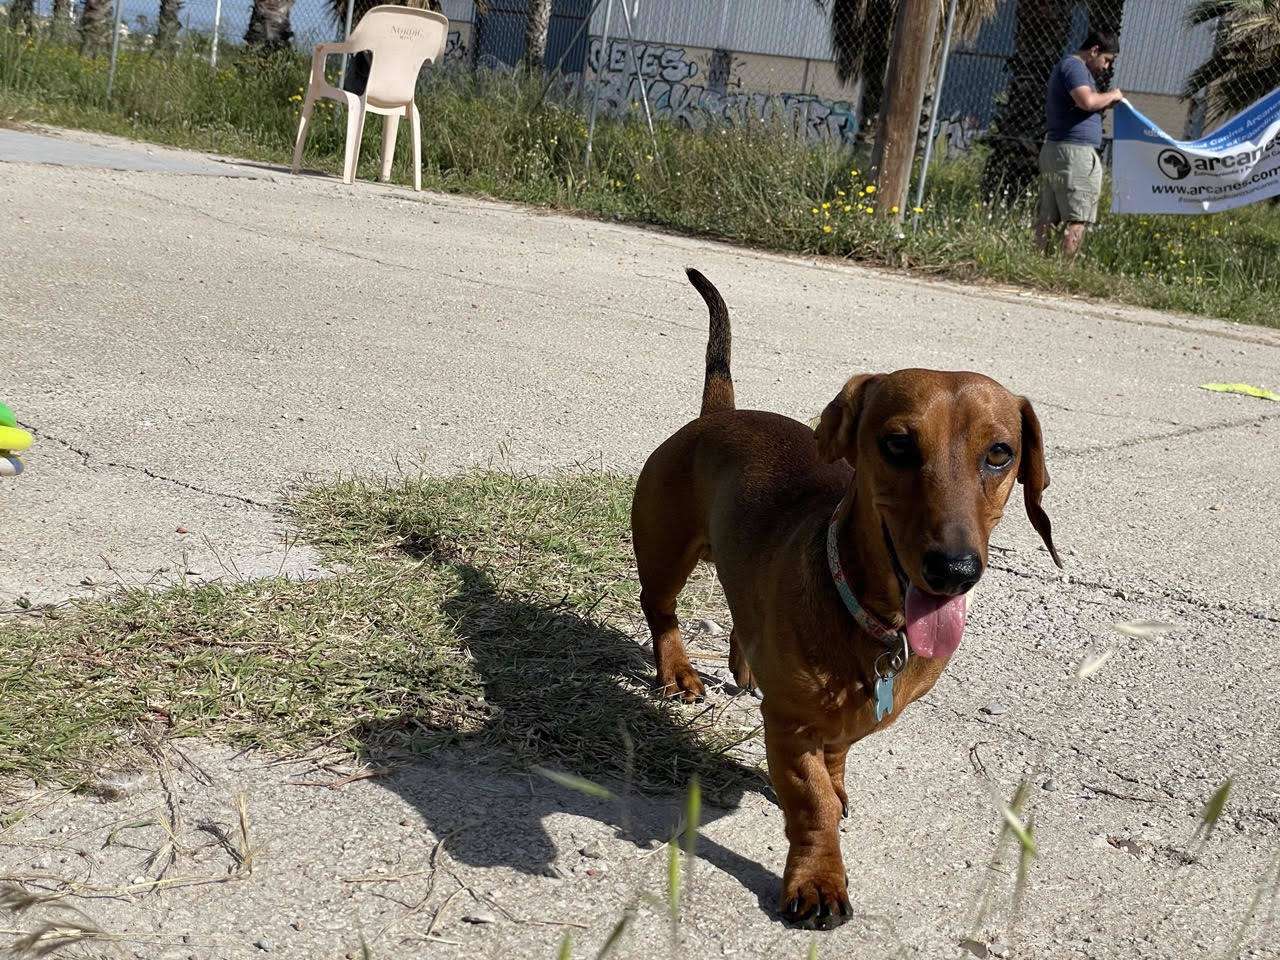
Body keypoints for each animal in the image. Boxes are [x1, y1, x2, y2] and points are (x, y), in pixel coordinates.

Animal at [629, 271, 1059, 931]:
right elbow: (813, 805)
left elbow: (833, 769)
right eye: (898, 443)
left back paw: (744, 666)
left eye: (999, 453)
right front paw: (818, 879)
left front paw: (835, 791)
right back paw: (676, 670)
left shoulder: (840, 726)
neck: (869, 617)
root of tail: (718, 415)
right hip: (664, 555)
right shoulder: (792, 727)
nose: (954, 571)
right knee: (661, 610)